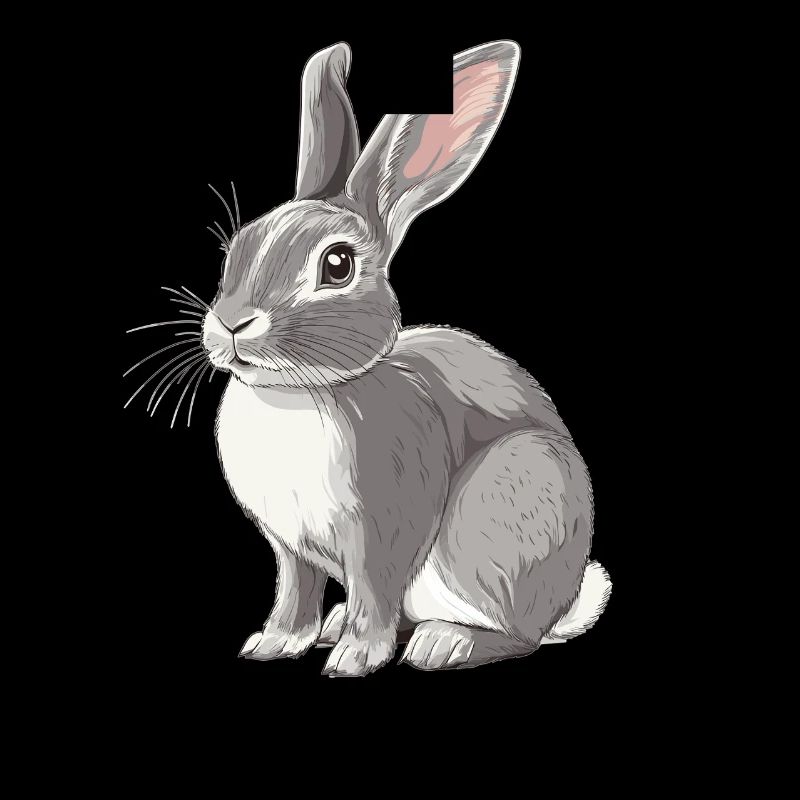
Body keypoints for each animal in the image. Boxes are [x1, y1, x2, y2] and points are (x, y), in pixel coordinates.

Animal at [192, 40, 610, 676]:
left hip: (494, 516)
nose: (231, 324)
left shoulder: (384, 534)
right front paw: (273, 643)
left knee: (518, 635)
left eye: (337, 265)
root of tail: (564, 601)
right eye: (237, 248)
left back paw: (444, 644)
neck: (295, 393)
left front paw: (355, 658)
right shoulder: (290, 550)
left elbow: (375, 591)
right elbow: (295, 592)